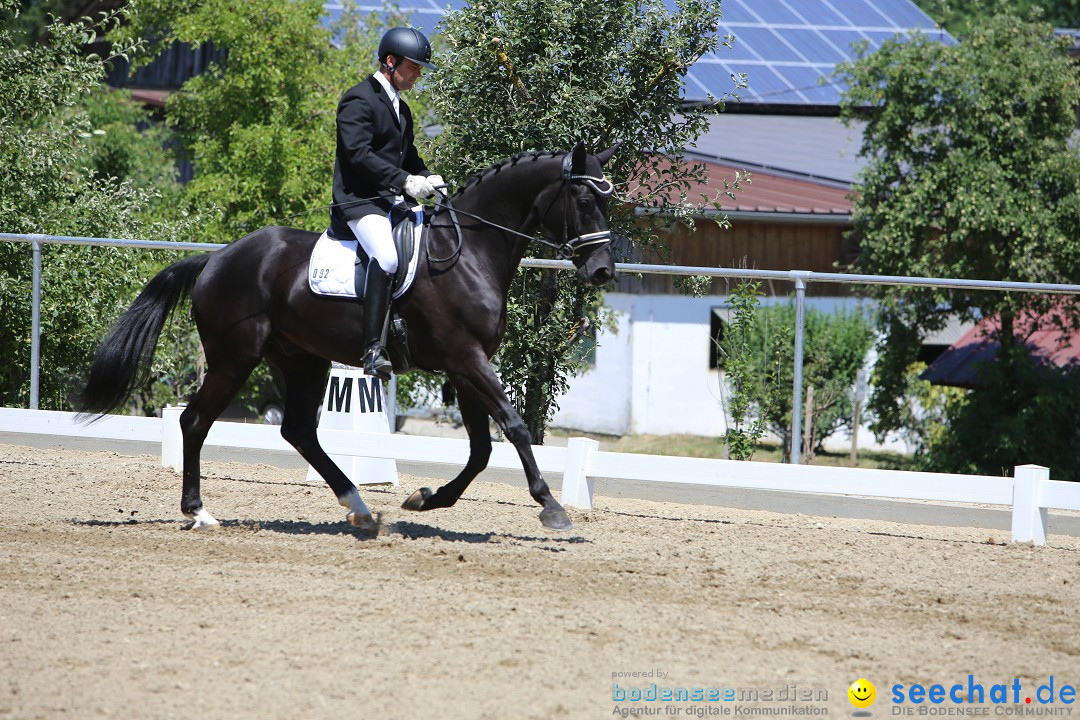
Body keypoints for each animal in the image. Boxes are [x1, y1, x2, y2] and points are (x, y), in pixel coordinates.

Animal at [76, 143, 617, 533]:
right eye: (585, 200)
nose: (603, 271)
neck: (467, 253)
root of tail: (217, 258)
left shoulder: (466, 364)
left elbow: (482, 448)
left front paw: (426, 498)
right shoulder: (466, 359)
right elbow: (515, 427)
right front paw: (550, 507)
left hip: (300, 359)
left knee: (298, 431)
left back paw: (357, 505)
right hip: (234, 359)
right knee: (195, 422)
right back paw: (199, 512)